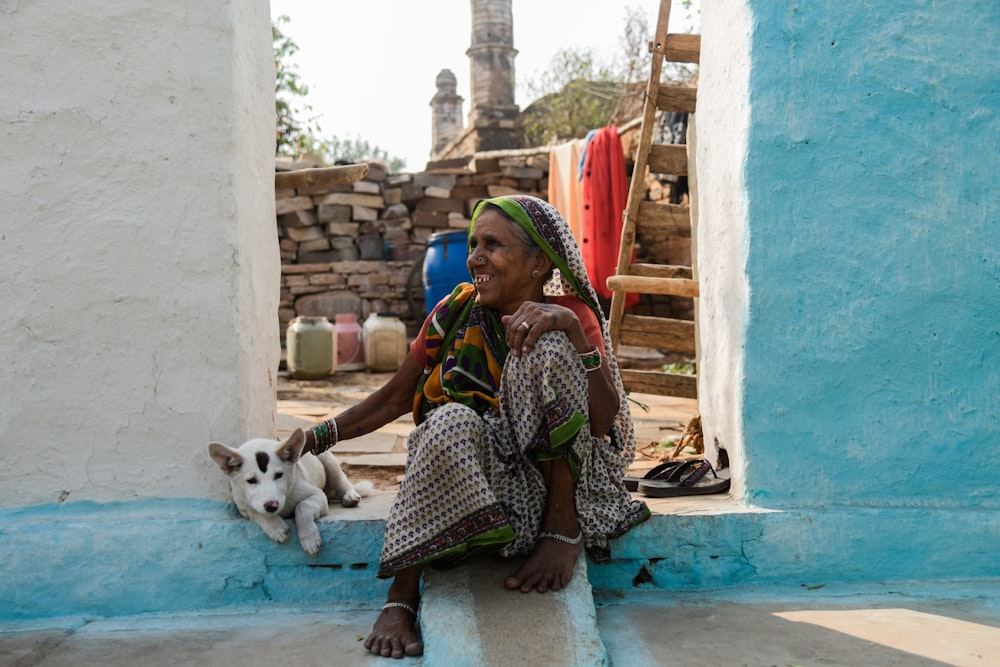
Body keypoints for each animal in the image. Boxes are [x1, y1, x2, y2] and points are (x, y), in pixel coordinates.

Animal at [209, 426, 374, 556]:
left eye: (278, 475)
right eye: (251, 481)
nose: (272, 506)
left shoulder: (317, 495)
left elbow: (302, 507)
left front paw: (310, 539)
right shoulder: (242, 506)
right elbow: (257, 511)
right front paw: (276, 527)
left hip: (327, 459)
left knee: (341, 480)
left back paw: (349, 495)